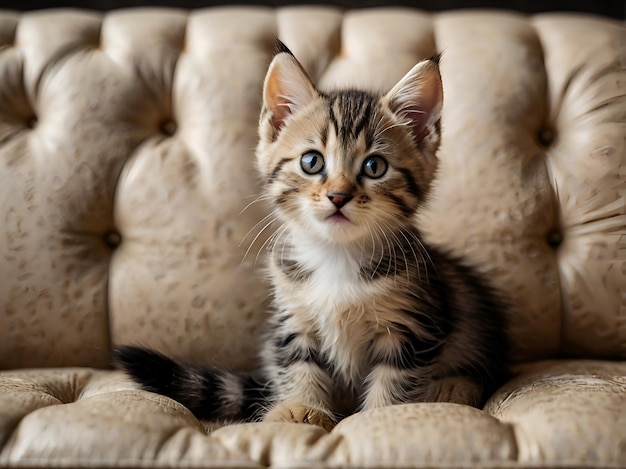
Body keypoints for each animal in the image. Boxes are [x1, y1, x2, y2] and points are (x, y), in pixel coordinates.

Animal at [116, 44, 508, 432]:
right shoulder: (293, 317)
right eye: (311, 162)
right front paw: (299, 407)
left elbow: (395, 378)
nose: (338, 196)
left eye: (375, 167)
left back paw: (453, 385)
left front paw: (383, 413)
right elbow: (299, 364)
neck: (337, 255)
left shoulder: (412, 323)